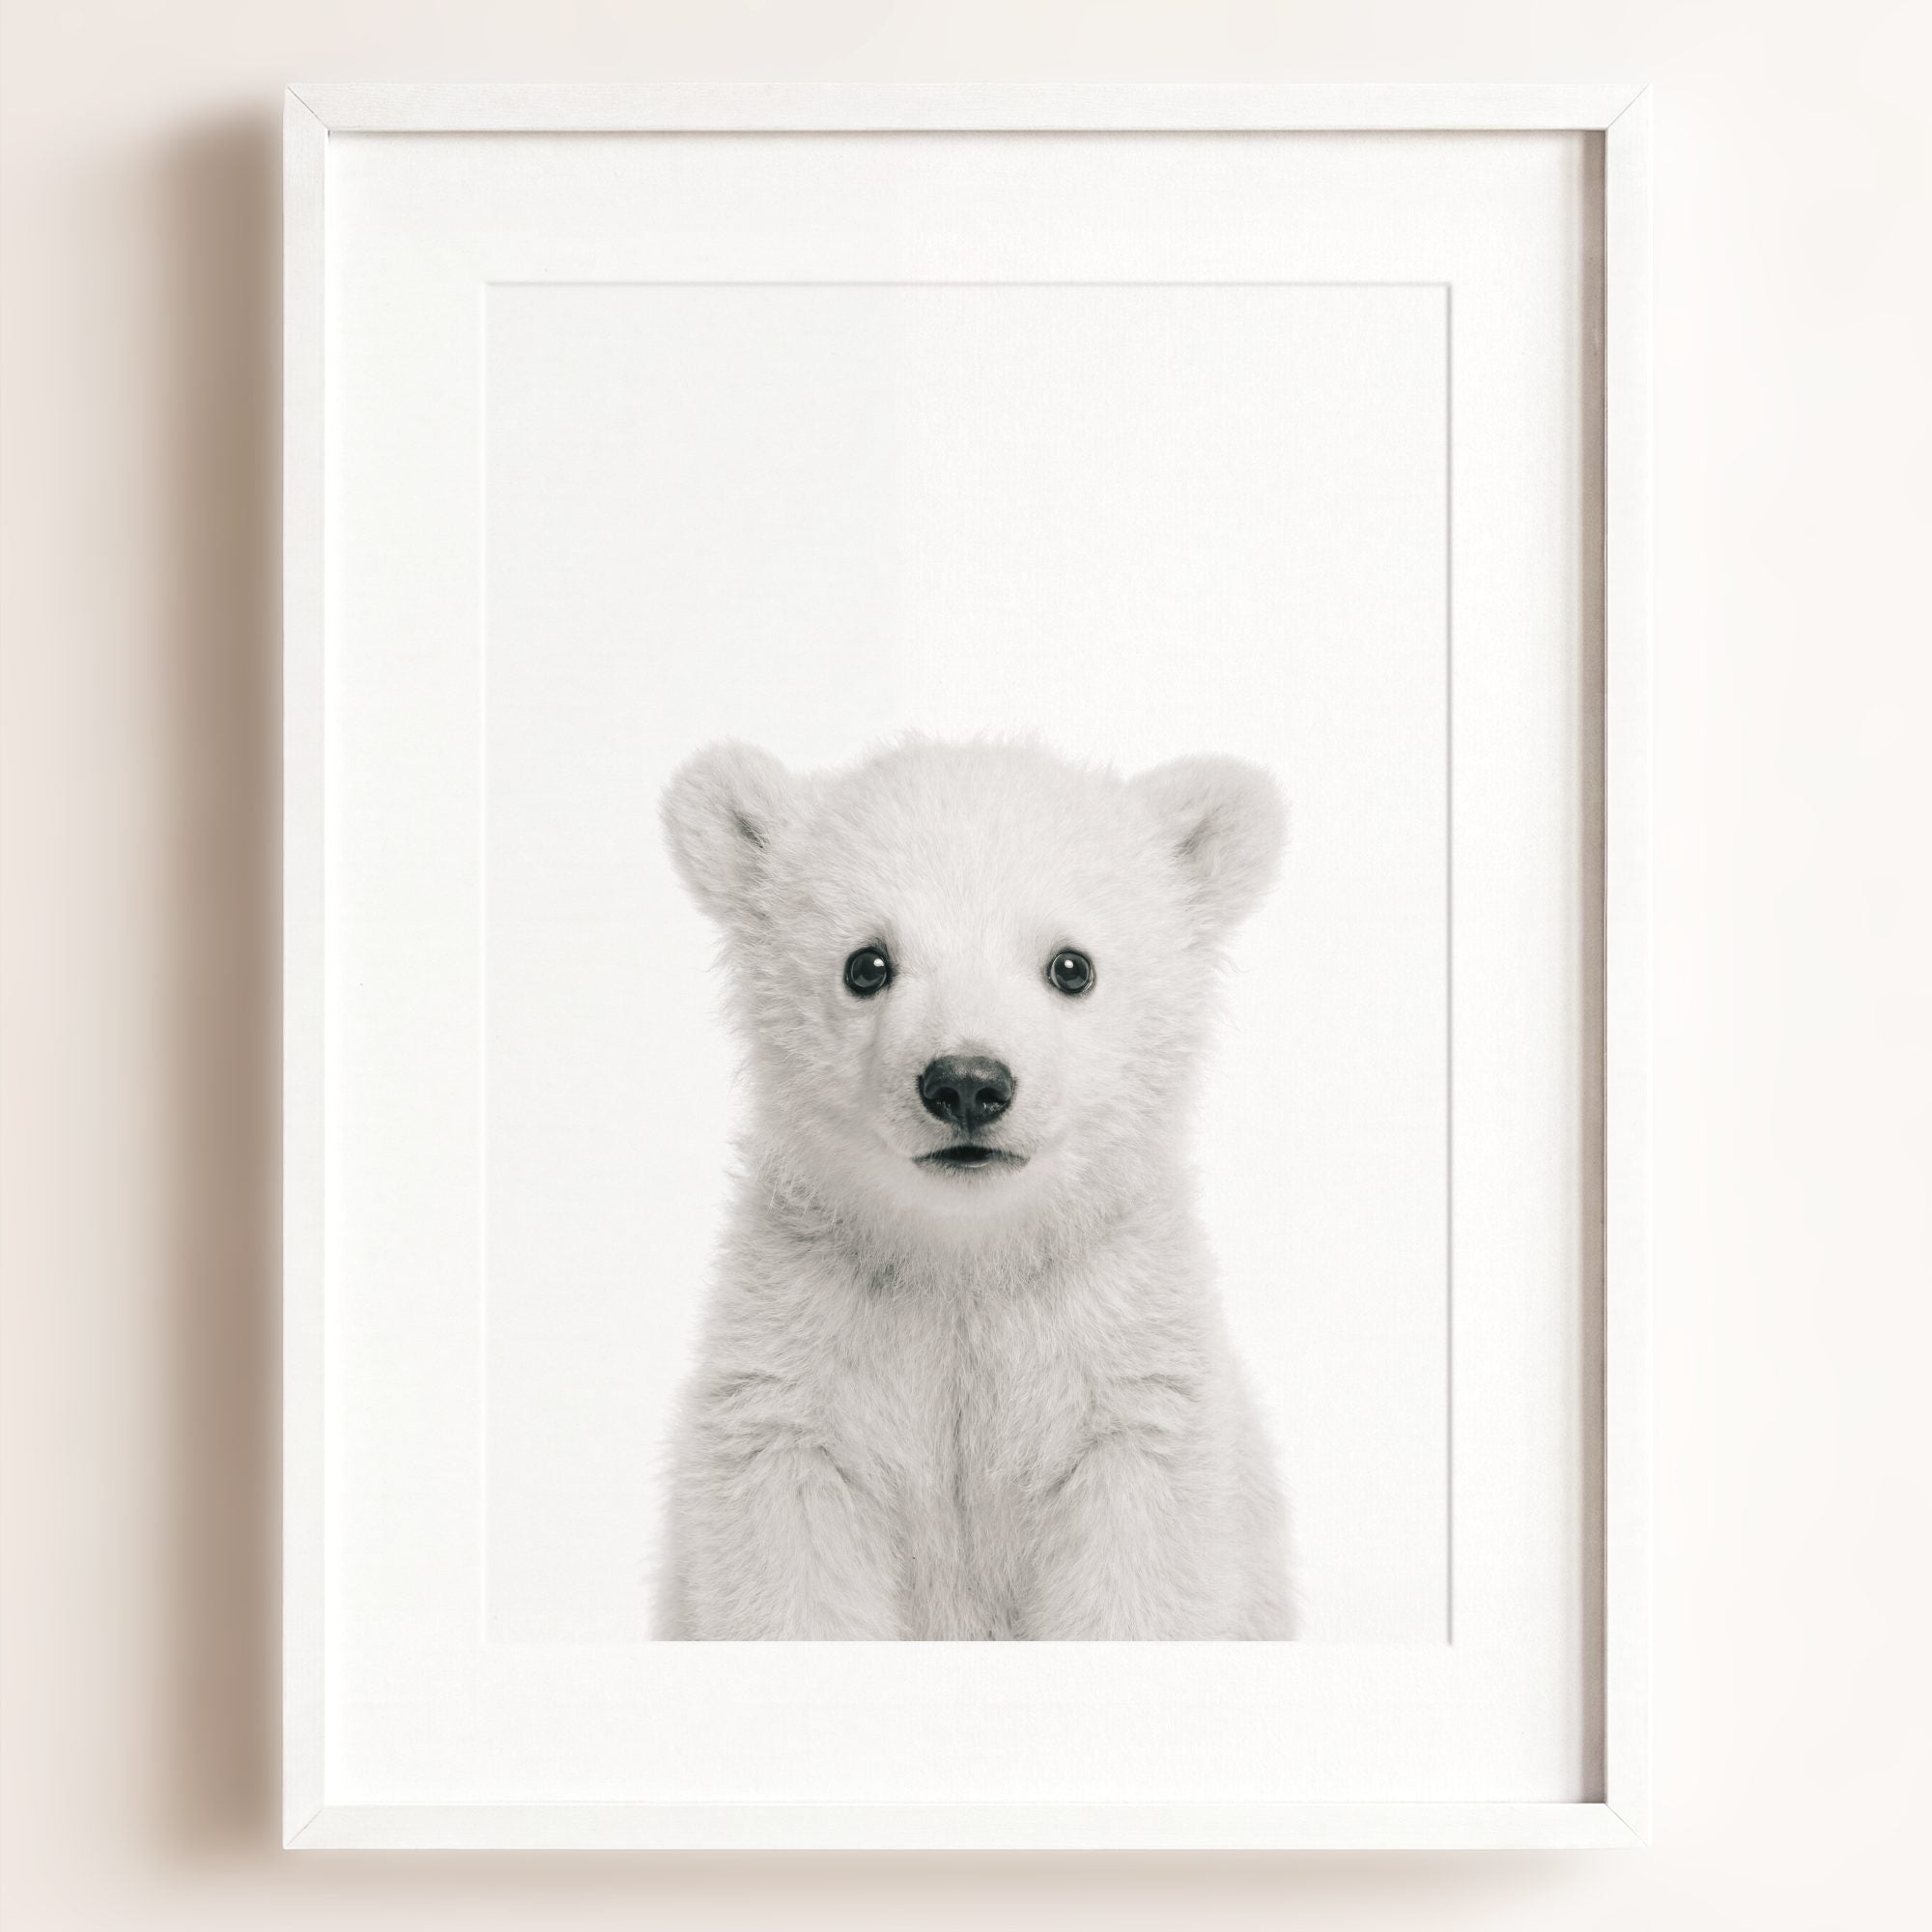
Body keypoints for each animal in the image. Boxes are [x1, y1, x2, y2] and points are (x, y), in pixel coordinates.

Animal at [654, 735, 1293, 1639]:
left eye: (1071, 966)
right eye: (866, 963)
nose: (966, 1083)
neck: (966, 1260)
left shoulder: (1126, 1382)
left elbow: (1137, 1575)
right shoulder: (797, 1374)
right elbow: (792, 1570)